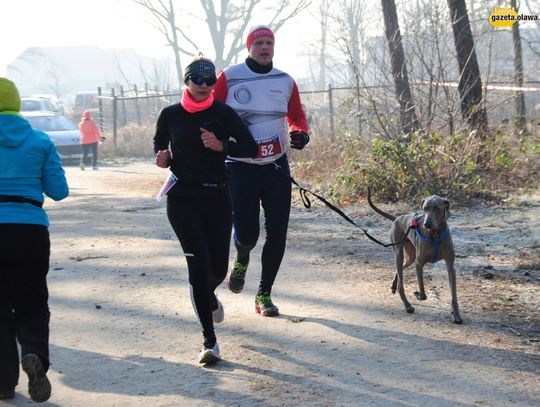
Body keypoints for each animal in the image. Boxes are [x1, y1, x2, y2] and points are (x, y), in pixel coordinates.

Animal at [370, 190, 462, 326]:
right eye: (425, 208)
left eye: (437, 208)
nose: (426, 224)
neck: (435, 234)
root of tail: (397, 218)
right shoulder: (419, 264)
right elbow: (423, 293)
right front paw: (417, 294)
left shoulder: (450, 266)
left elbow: (454, 296)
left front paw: (456, 315)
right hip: (399, 252)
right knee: (401, 283)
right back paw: (407, 305)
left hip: (410, 257)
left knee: (400, 269)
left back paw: (393, 286)